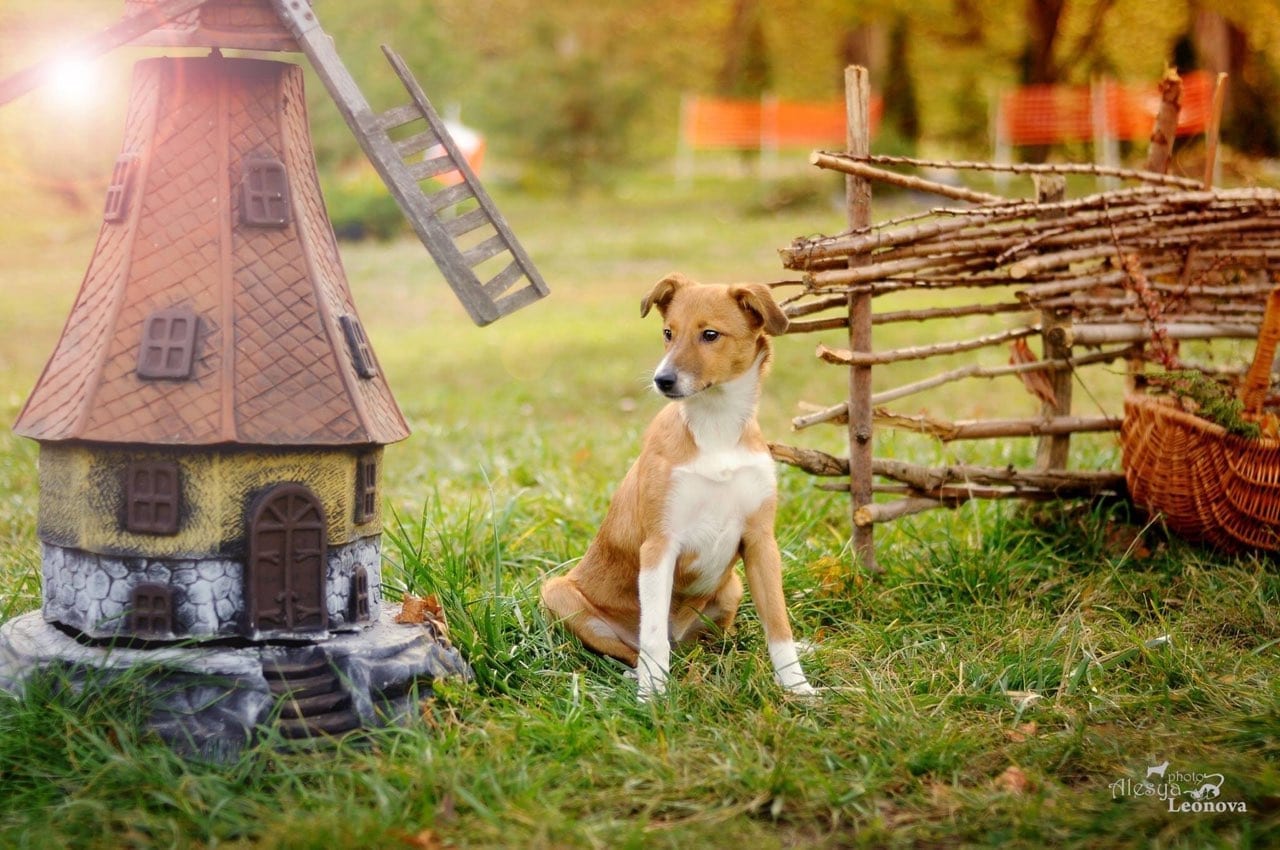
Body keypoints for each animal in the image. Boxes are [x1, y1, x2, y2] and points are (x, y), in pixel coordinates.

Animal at [540, 272, 808, 696]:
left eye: (710, 334)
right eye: (668, 333)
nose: (662, 380)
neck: (715, 427)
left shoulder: (761, 542)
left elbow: (779, 626)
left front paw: (799, 690)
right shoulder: (660, 545)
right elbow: (651, 636)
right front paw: (652, 697)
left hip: (732, 586)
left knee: (713, 645)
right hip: (559, 593)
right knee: (636, 650)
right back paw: (641, 676)